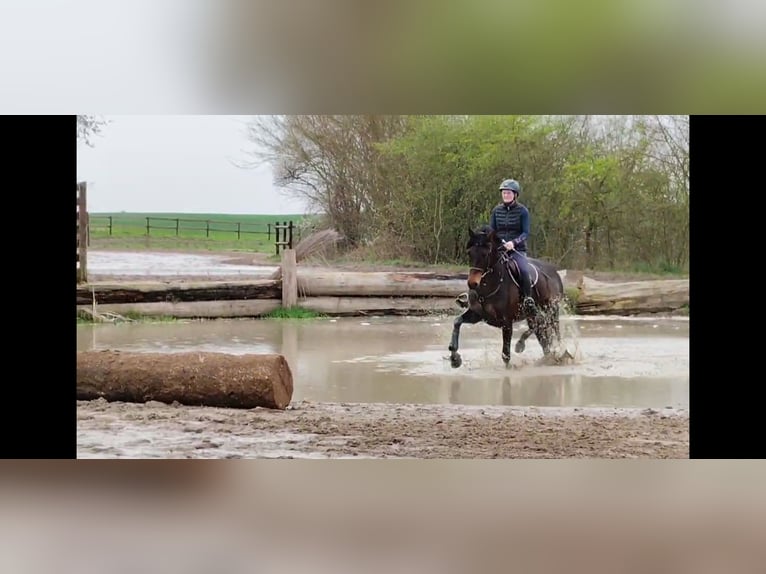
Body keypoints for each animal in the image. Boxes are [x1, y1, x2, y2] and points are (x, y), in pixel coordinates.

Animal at [448, 225, 568, 368]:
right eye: (469, 253)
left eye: (485, 254)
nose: (472, 283)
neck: (489, 287)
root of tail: (555, 272)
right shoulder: (478, 314)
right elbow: (457, 321)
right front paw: (455, 358)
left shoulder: (506, 322)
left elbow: (506, 354)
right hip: (532, 315)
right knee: (540, 332)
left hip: (551, 310)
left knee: (552, 330)